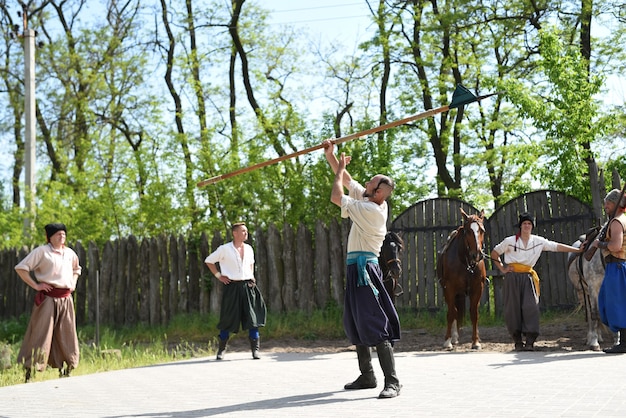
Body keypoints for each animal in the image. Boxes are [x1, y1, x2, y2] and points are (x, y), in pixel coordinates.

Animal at [434, 208, 488, 350]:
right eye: (467, 231)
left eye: (482, 230)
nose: (477, 254)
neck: (465, 262)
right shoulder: (449, 289)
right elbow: (451, 313)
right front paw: (447, 341)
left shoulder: (477, 288)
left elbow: (474, 313)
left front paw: (475, 341)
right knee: (454, 311)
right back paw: (453, 337)